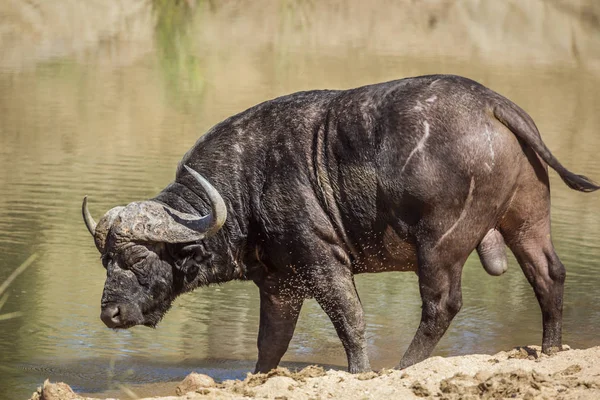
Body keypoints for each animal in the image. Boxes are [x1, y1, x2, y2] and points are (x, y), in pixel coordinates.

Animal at [82, 74, 596, 372]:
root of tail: (490, 102)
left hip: (440, 245)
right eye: (105, 262)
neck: (246, 184)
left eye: (136, 259)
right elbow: (270, 342)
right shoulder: (279, 285)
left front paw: (359, 371)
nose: (109, 314)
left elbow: (350, 319)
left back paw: (403, 367)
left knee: (442, 305)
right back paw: (550, 350)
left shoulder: (323, 261)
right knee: (549, 275)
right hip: (527, 223)